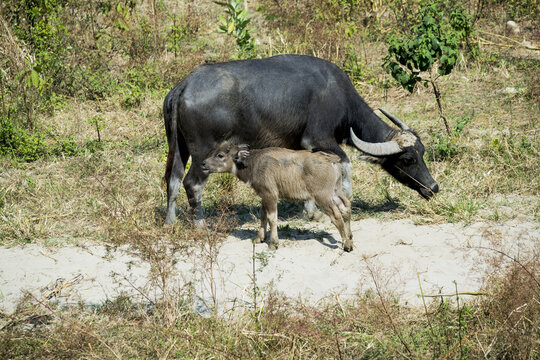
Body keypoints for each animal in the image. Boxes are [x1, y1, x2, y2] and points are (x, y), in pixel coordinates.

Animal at [163, 53, 438, 224]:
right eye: (408, 159)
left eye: (423, 152)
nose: (433, 187)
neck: (338, 95)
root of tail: (184, 86)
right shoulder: (318, 139)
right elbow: (345, 165)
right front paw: (340, 203)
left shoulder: (303, 147)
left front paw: (311, 213)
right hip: (204, 152)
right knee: (192, 184)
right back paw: (200, 225)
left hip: (178, 148)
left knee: (172, 180)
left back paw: (170, 222)